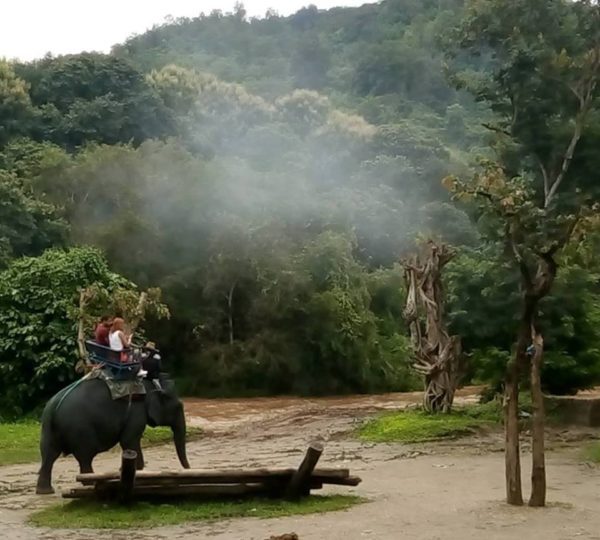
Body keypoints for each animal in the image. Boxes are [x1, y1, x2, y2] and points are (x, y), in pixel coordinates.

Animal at [35, 376, 190, 494]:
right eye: (179, 406)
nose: (188, 469)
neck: (149, 384)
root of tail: (53, 408)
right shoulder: (136, 412)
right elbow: (128, 440)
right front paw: (134, 471)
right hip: (79, 429)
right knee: (84, 456)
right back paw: (89, 483)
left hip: (47, 430)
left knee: (49, 455)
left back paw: (45, 491)